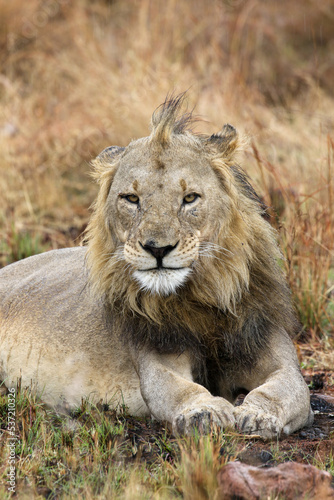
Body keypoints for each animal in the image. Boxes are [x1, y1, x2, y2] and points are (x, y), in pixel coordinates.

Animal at [0, 94, 314, 438]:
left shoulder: (271, 346)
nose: (158, 248)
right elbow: (180, 389)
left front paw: (258, 416)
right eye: (131, 198)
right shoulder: (157, 354)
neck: (204, 296)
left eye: (189, 198)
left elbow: (287, 389)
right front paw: (204, 412)